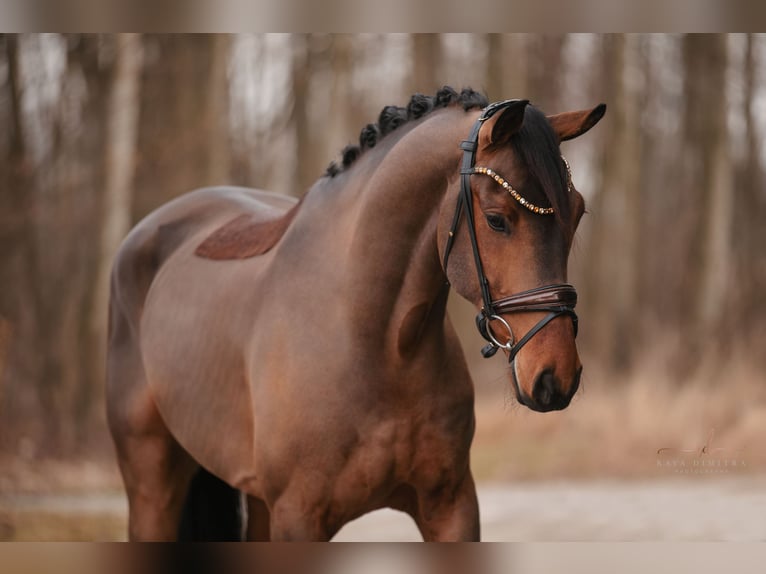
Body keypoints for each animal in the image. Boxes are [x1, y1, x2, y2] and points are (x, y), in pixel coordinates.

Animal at [106, 88, 608, 544]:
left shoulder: (452, 507)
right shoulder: (299, 517)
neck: (376, 341)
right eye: (497, 218)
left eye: (579, 214)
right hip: (154, 487)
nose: (555, 376)